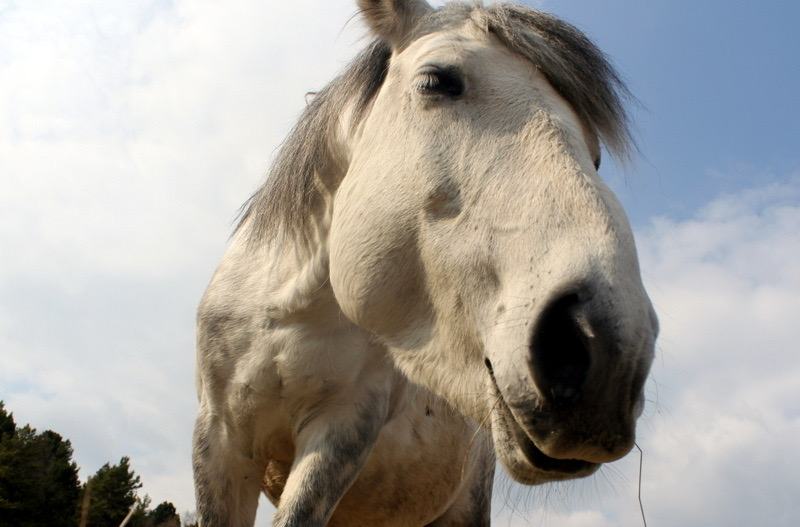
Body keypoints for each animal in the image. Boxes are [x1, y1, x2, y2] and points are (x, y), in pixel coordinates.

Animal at [192, 0, 658, 525]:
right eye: (436, 81)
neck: (290, 311)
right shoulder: (218, 435)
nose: (609, 351)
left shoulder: (343, 429)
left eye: (596, 156)